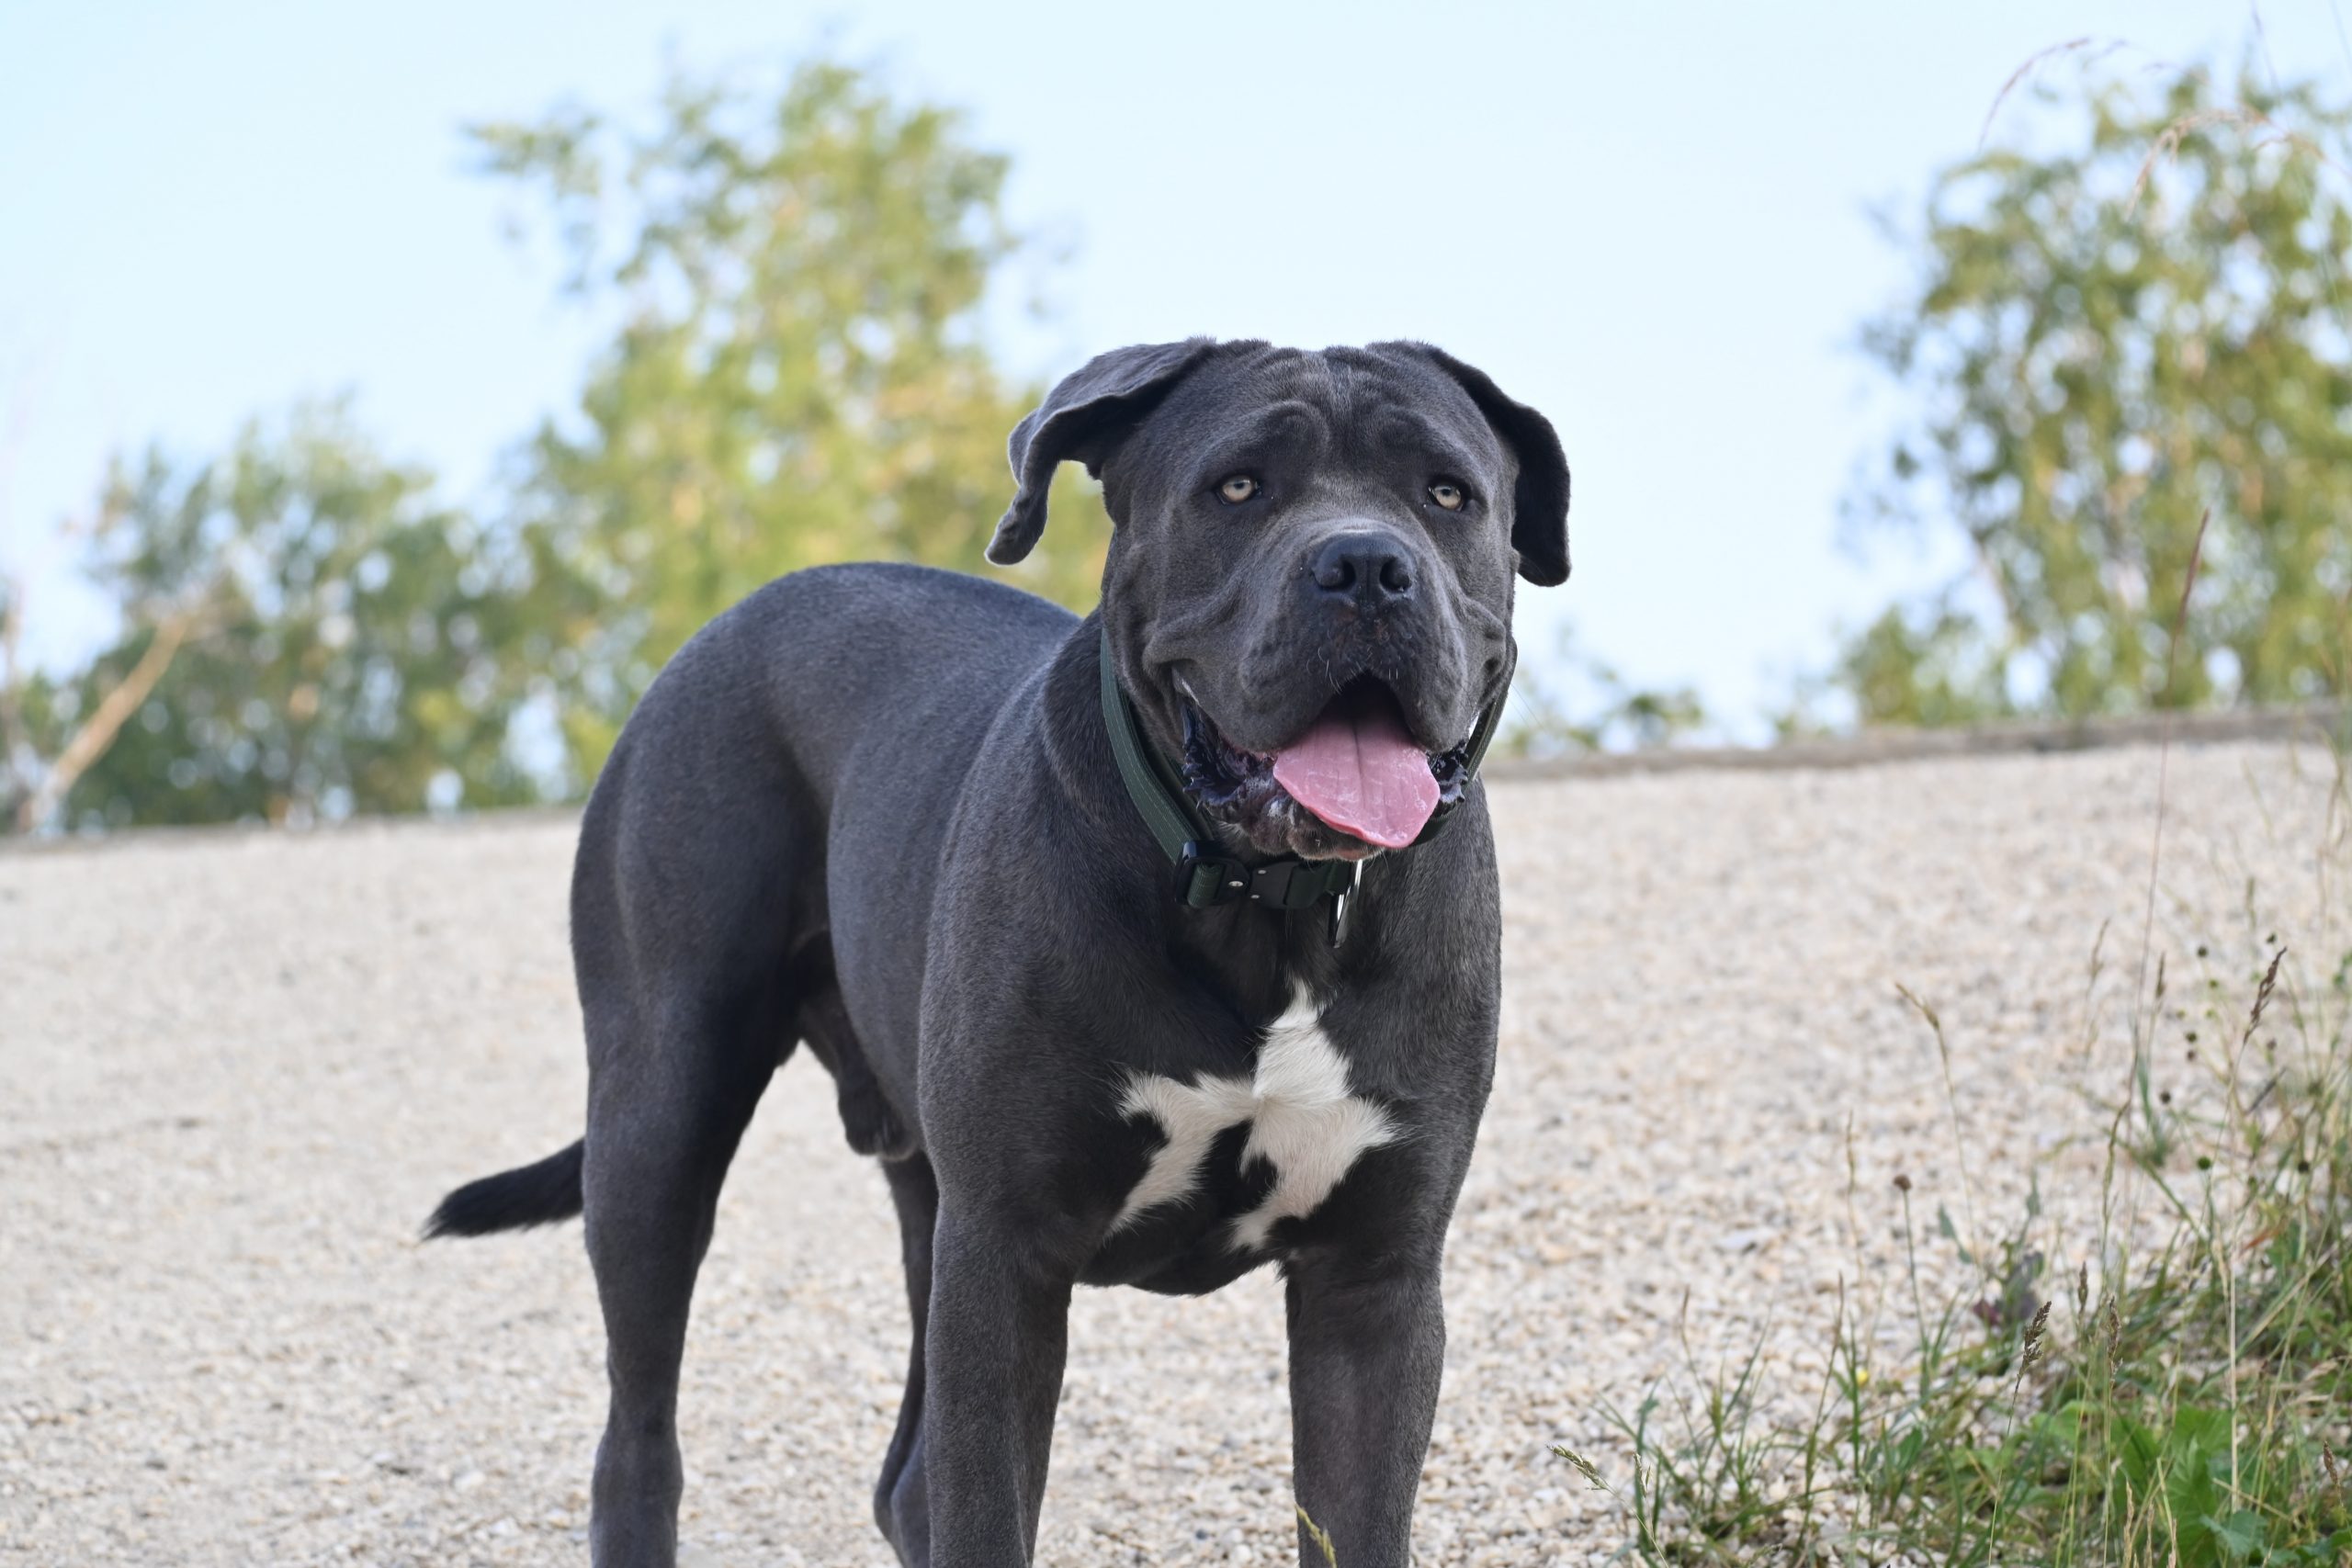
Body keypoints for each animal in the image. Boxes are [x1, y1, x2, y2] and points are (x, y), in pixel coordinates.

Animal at [433, 338, 1571, 1561]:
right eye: (1238, 487)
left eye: (1446, 495)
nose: (1364, 565)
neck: (1262, 907)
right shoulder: (1005, 1259)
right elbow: (986, 1509)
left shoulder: (1375, 1285)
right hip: (661, 1112)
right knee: (639, 1434)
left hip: (920, 1199)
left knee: (903, 1480)